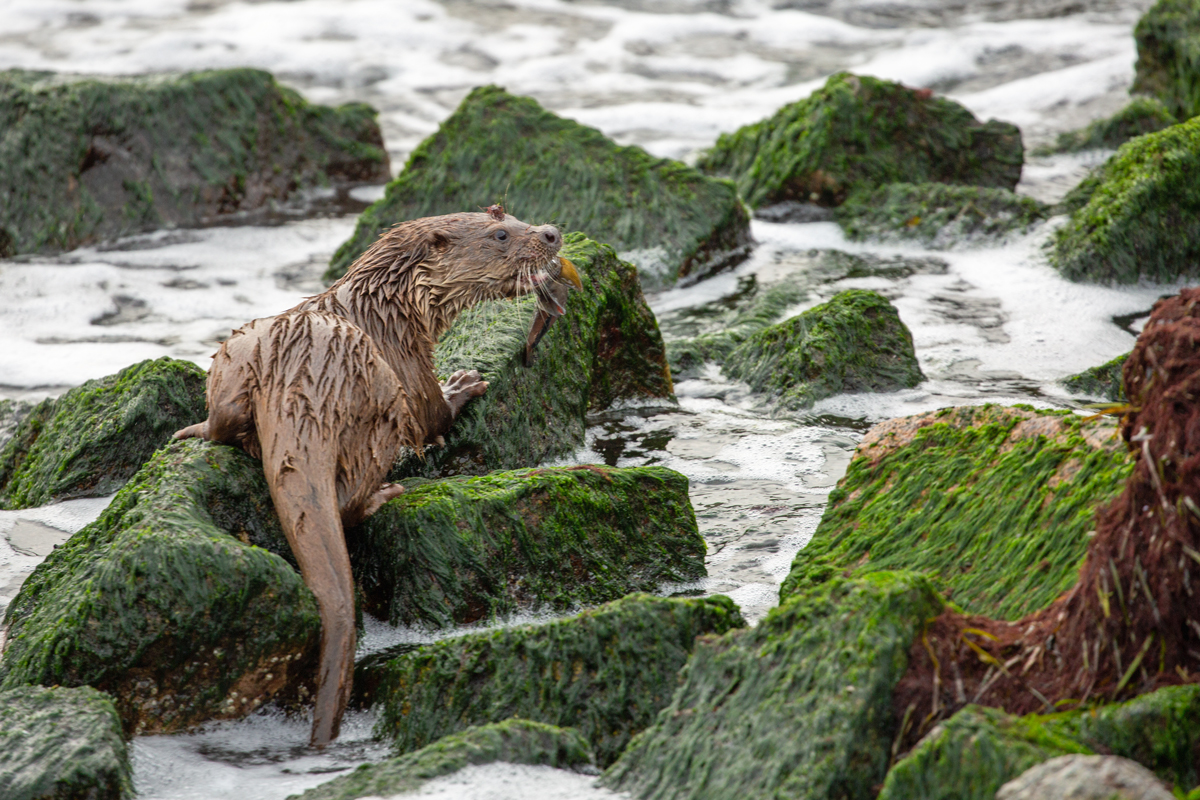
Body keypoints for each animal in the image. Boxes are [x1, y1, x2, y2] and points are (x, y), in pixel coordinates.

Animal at [172, 206, 580, 743]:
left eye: (508, 214)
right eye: (500, 234)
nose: (551, 234)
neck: (387, 304)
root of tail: (304, 381)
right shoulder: (408, 357)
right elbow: (431, 415)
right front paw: (462, 384)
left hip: (238, 355)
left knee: (224, 420)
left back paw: (193, 428)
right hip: (382, 404)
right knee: (349, 500)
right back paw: (384, 494)